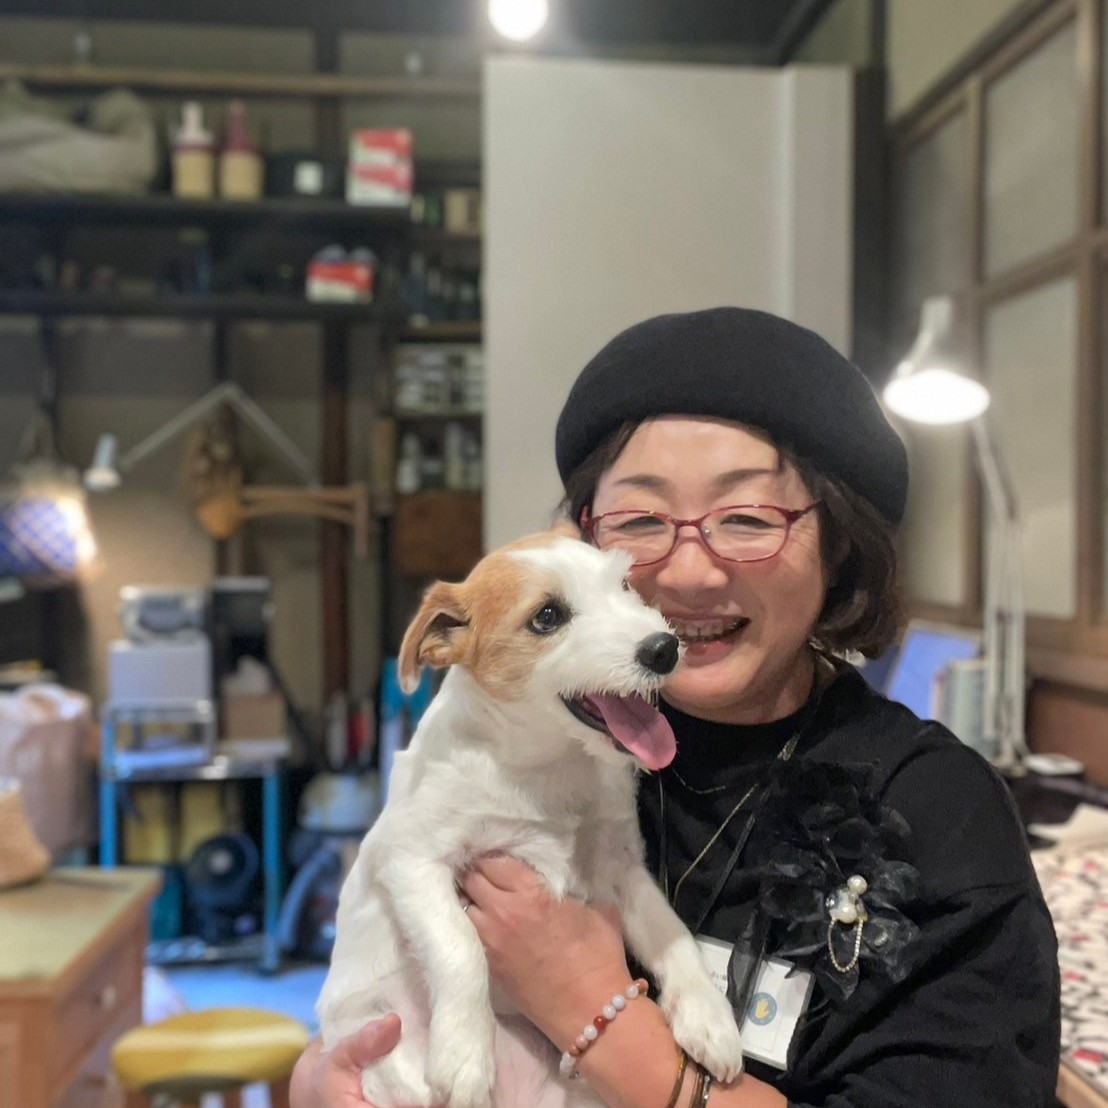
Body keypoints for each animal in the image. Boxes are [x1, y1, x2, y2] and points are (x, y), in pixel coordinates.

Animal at [318, 526, 744, 1108]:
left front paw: (709, 1016)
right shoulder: (411, 859)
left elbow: (671, 935)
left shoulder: (621, 869)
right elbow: (459, 946)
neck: (550, 766)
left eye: (624, 584)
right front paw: (465, 1057)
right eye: (547, 617)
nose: (664, 647)